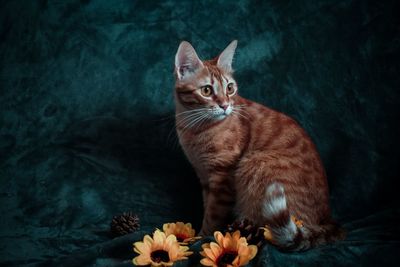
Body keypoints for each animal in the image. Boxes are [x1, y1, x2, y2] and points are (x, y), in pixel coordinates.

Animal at [172, 40, 344, 252]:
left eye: (230, 88)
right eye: (206, 91)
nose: (225, 105)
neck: (195, 128)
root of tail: (327, 220)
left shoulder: (221, 179)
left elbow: (212, 215)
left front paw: (201, 237)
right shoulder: (203, 176)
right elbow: (206, 206)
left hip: (255, 164)